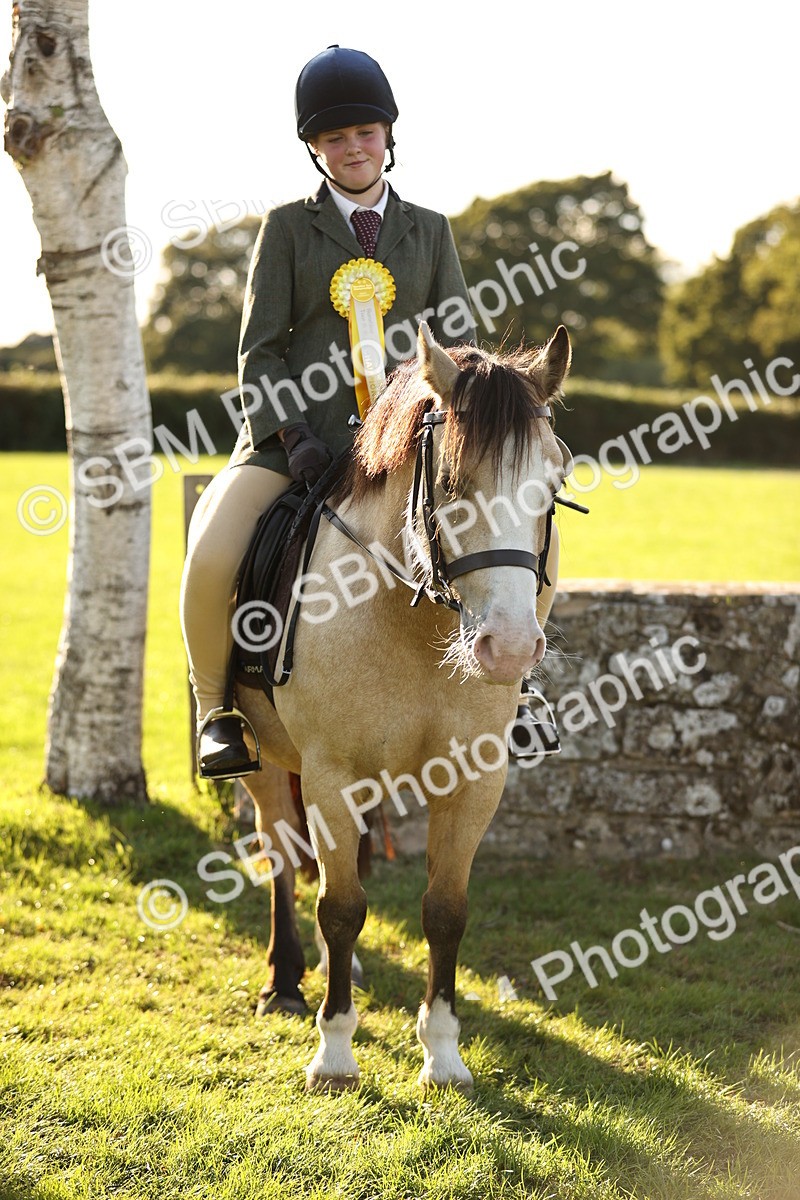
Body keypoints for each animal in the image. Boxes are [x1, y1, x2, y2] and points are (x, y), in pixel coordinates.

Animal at [237, 322, 573, 1092]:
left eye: (555, 483)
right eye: (452, 483)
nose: (510, 648)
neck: (414, 621)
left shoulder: (475, 780)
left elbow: (445, 911)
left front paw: (443, 1055)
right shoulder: (331, 773)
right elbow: (339, 905)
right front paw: (334, 1053)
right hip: (263, 756)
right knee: (281, 848)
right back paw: (286, 979)